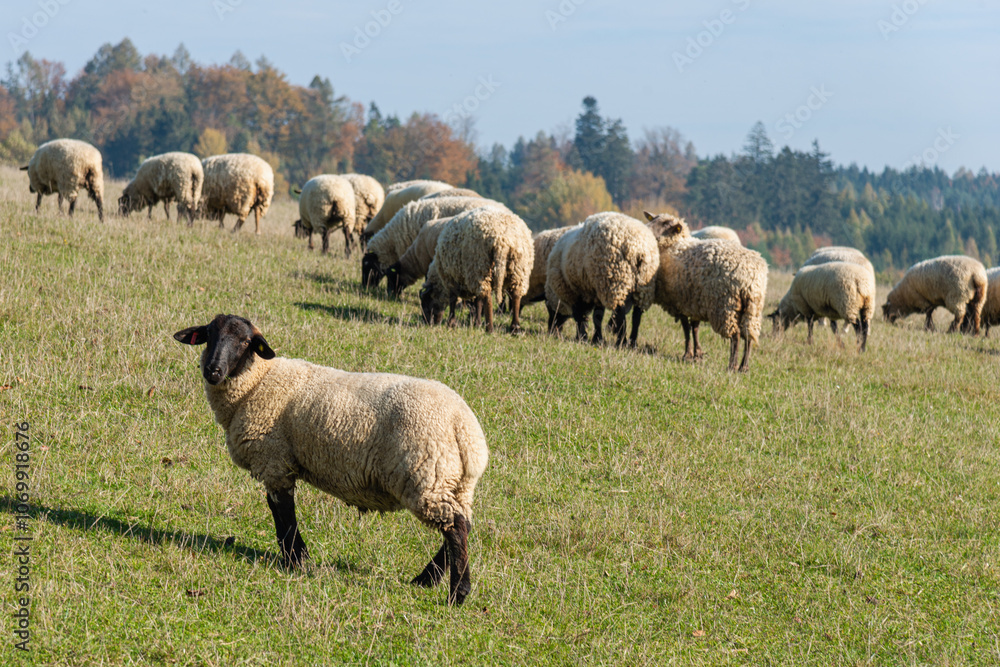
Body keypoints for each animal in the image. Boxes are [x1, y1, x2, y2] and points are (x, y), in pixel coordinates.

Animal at [173, 314, 488, 606]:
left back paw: (457, 593)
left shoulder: (274, 461)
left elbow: (283, 513)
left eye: (244, 342)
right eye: (210, 335)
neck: (258, 380)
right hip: (454, 483)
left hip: (426, 476)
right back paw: (426, 579)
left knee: (456, 528)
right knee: (462, 525)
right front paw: (297, 557)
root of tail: (466, 429)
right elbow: (279, 511)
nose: (213, 370)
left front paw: (295, 560)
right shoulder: (278, 464)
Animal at [544, 213, 658, 347]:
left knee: (620, 314)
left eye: (550, 310)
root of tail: (638, 249)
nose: (551, 331)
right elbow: (597, 316)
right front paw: (596, 339)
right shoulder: (595, 290)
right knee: (637, 316)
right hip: (644, 286)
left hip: (615, 281)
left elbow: (579, 316)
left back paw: (621, 342)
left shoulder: (573, 292)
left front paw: (583, 337)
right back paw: (632, 343)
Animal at [645, 211, 768, 372]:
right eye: (654, 219)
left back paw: (732, 366)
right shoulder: (694, 301)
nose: (645, 227)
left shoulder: (680, 301)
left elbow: (686, 328)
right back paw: (744, 367)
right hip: (753, 308)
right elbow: (694, 328)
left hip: (726, 306)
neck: (674, 246)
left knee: (735, 336)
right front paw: (697, 355)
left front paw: (688, 355)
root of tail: (751, 277)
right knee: (748, 336)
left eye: (665, 224)